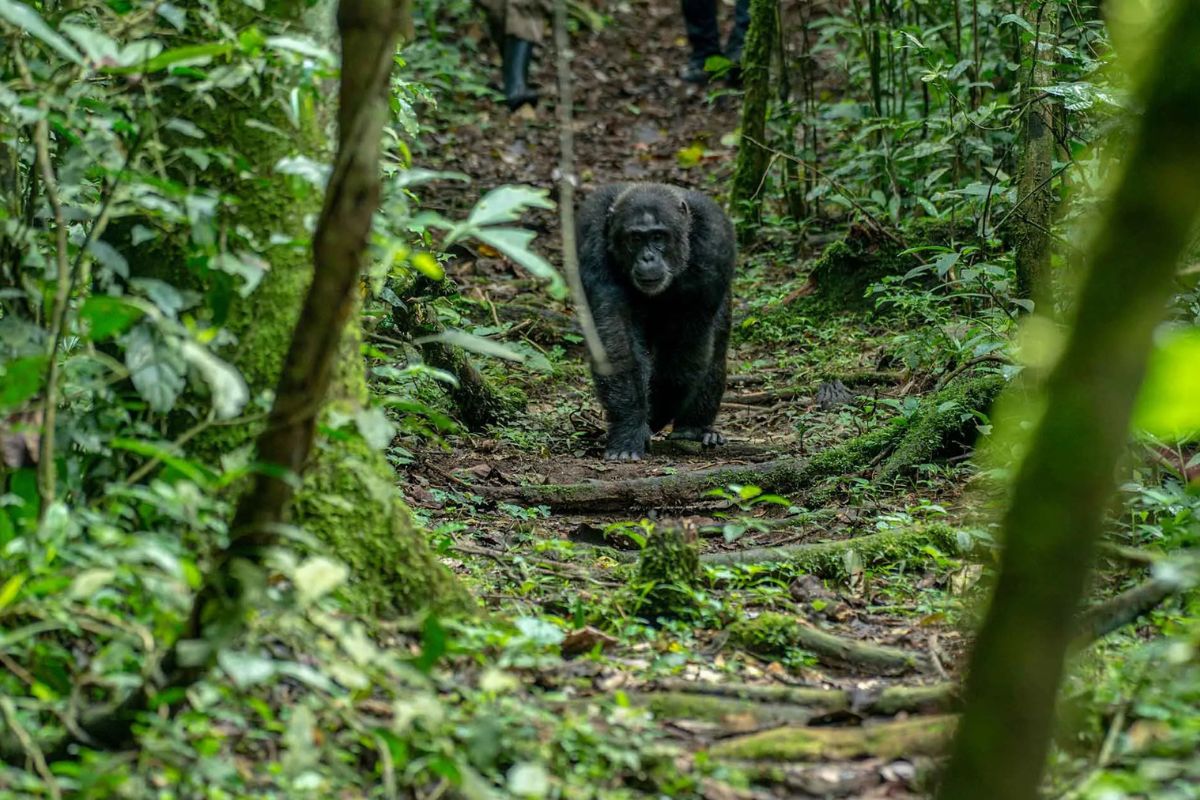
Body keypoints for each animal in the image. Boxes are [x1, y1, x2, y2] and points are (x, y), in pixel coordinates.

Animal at [575, 182, 735, 461]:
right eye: (636, 239)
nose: (647, 258)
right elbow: (617, 335)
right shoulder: (590, 237)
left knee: (714, 350)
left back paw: (694, 429)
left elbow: (683, 346)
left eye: (659, 237)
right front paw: (630, 428)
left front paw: (653, 418)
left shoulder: (715, 244)